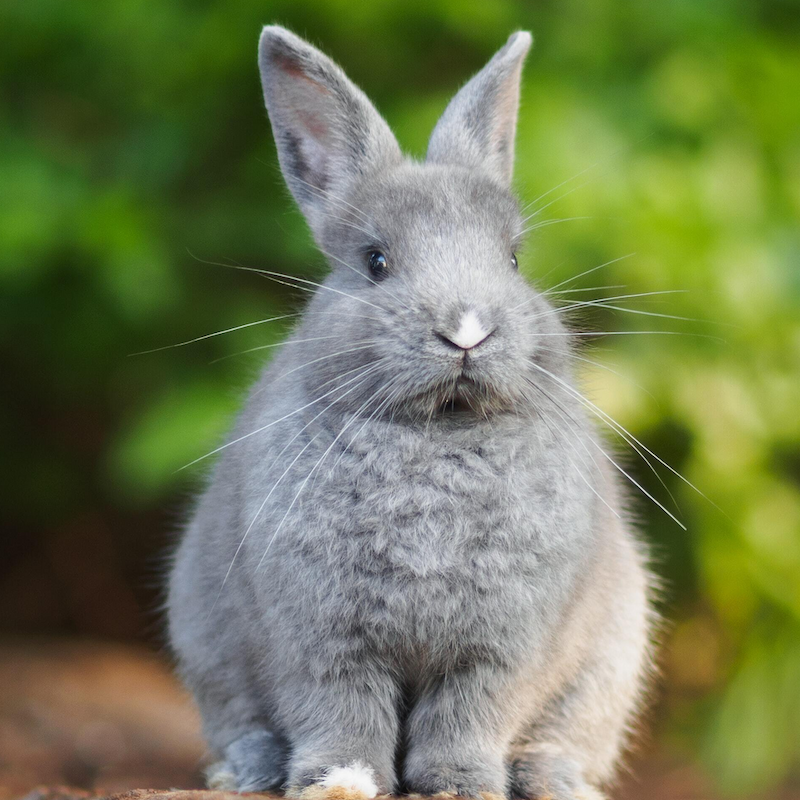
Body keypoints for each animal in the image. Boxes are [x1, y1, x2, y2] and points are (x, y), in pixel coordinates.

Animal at [169, 25, 656, 800]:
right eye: (375, 262)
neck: (438, 432)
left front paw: (459, 784)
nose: (466, 330)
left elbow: (469, 713)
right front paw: (339, 780)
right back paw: (246, 770)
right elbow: (340, 710)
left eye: (513, 260)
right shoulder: (321, 639)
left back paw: (553, 779)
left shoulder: (500, 649)